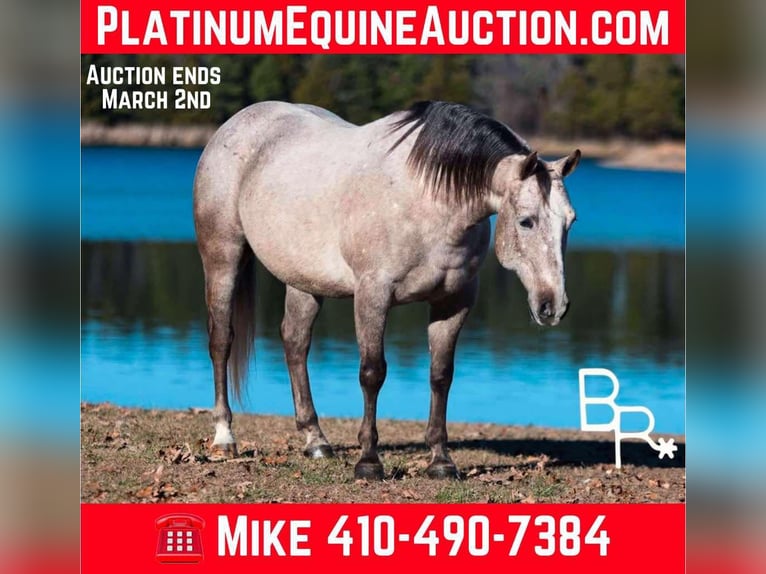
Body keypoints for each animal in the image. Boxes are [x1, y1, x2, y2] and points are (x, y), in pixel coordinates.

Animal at [193, 100, 580, 480]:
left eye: (570, 221)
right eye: (526, 221)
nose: (553, 306)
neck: (427, 200)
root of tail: (236, 123)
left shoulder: (453, 301)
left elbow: (441, 376)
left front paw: (441, 462)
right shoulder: (373, 295)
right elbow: (372, 372)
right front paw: (368, 462)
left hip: (303, 279)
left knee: (295, 342)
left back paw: (316, 441)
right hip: (223, 256)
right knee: (222, 341)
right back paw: (225, 437)